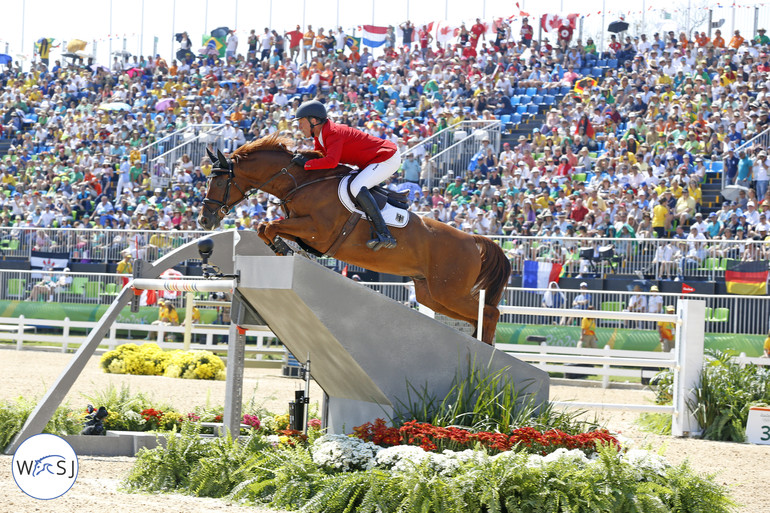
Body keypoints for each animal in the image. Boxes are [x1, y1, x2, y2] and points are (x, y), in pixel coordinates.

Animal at [198, 133, 510, 344]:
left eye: (220, 181)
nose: (204, 220)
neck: (301, 182)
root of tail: (473, 240)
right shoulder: (305, 229)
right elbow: (267, 228)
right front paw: (284, 250)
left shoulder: (319, 231)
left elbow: (269, 226)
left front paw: (283, 249)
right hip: (433, 295)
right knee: (477, 315)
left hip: (449, 291)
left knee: (490, 312)